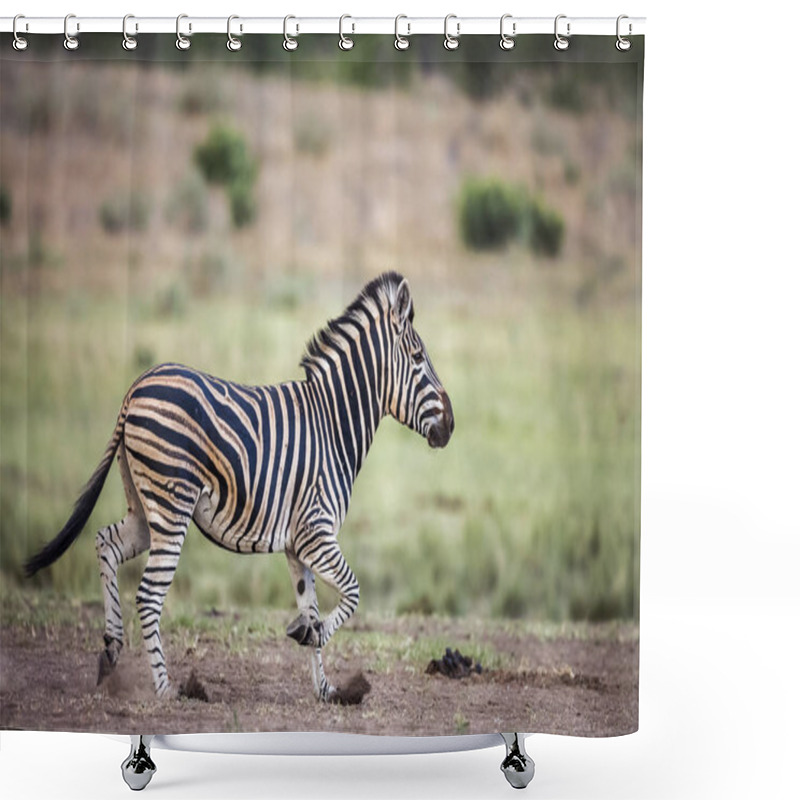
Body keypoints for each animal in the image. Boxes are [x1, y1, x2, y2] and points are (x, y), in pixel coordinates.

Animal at [25, 276, 454, 708]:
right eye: (418, 357)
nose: (451, 425)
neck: (333, 424)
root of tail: (136, 387)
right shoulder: (316, 533)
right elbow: (352, 592)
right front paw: (312, 640)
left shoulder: (297, 544)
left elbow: (311, 605)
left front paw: (325, 687)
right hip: (171, 506)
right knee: (148, 594)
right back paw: (166, 689)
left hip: (146, 509)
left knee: (106, 543)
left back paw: (111, 650)